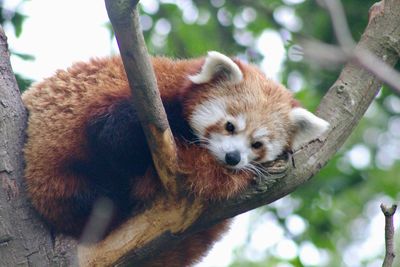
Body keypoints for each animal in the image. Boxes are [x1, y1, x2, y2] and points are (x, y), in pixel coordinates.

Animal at [21, 51, 328, 266]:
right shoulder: (141, 98)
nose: (232, 158)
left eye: (257, 144)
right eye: (230, 126)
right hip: (55, 175)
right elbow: (112, 136)